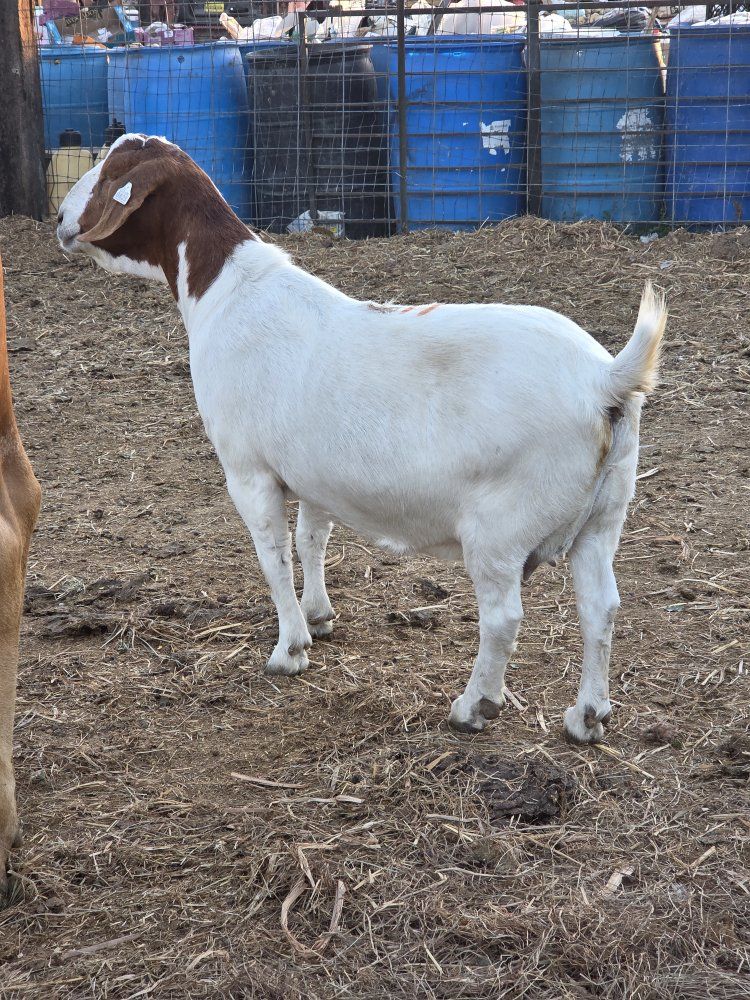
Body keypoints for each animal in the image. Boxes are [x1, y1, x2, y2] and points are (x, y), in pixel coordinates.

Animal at [56, 135, 665, 744]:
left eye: (111, 171)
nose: (61, 220)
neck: (227, 291)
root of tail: (604, 380)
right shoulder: (313, 474)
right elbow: (311, 540)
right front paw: (319, 616)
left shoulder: (248, 470)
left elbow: (274, 556)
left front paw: (289, 649)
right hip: (605, 512)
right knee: (601, 608)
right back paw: (587, 716)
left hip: (502, 524)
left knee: (503, 616)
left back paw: (474, 707)